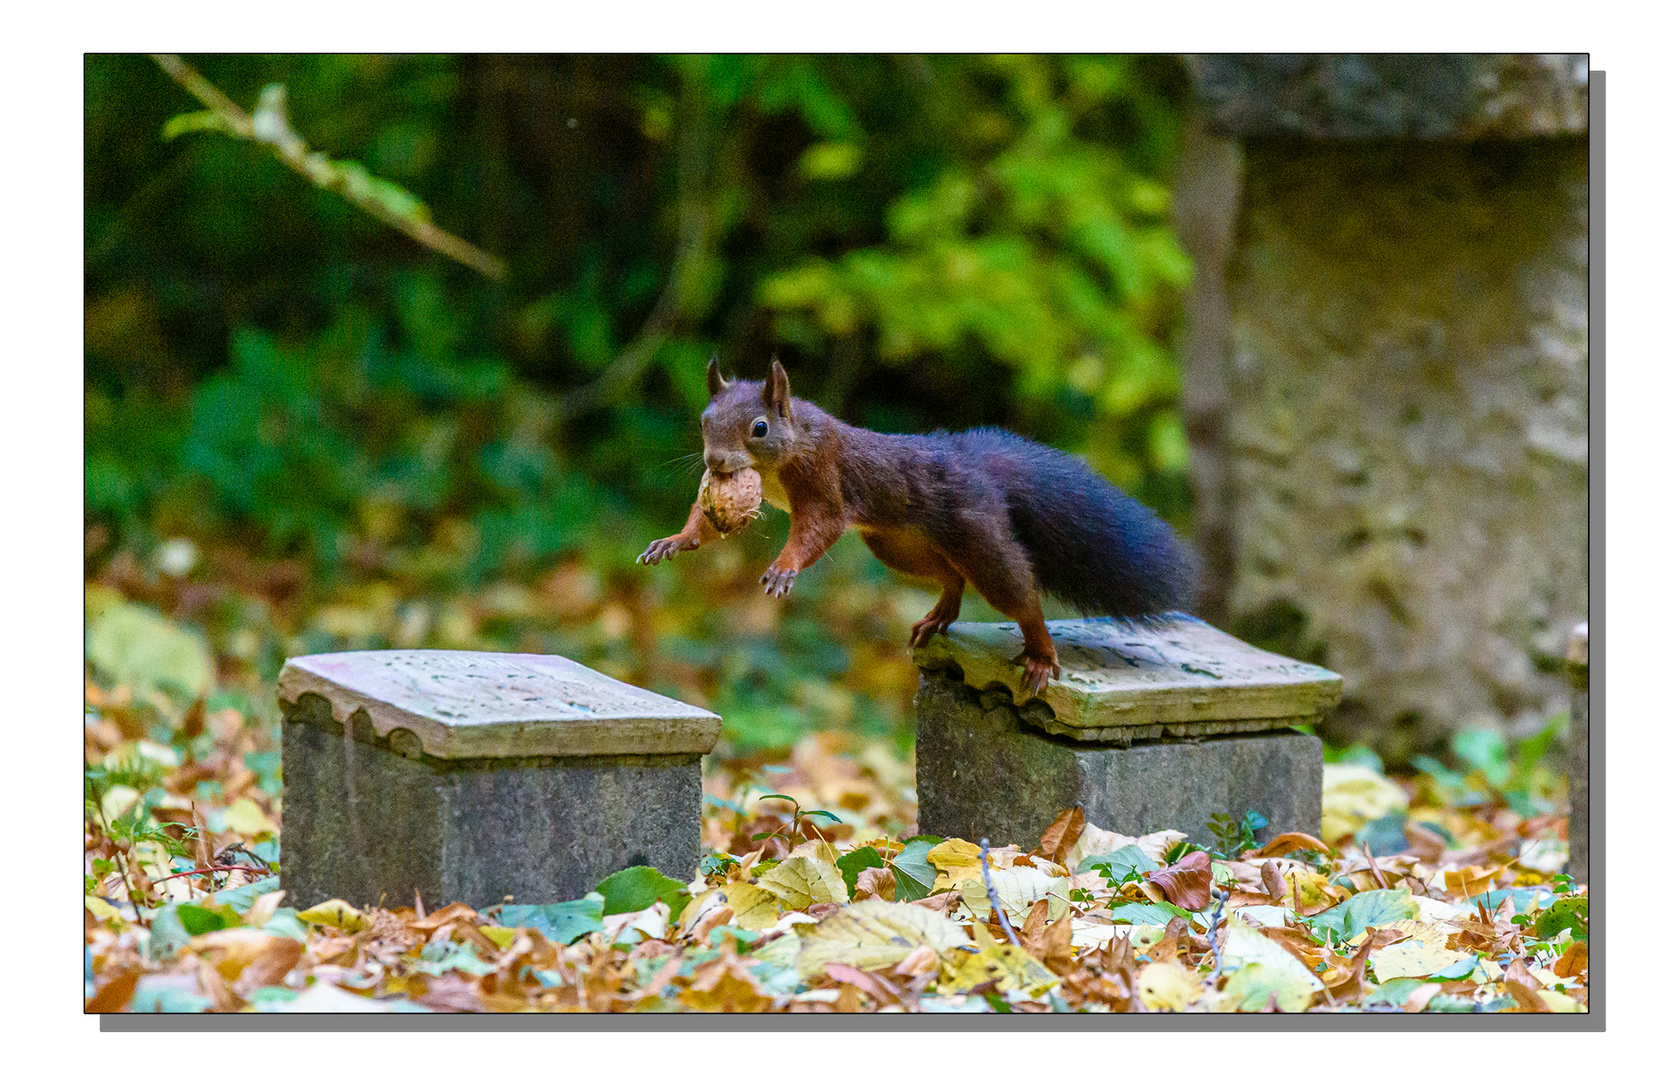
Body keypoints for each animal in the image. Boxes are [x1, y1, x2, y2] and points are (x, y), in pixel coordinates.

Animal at [634, 353, 1195, 691]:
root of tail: (970, 464)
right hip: (898, 545)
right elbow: (703, 522)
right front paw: (676, 540)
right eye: (704, 421)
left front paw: (784, 567)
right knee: (950, 576)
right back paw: (940, 613)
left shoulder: (823, 477)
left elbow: (820, 527)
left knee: (1018, 594)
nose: (715, 461)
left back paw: (1039, 653)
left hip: (979, 535)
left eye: (759, 428)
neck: (785, 454)